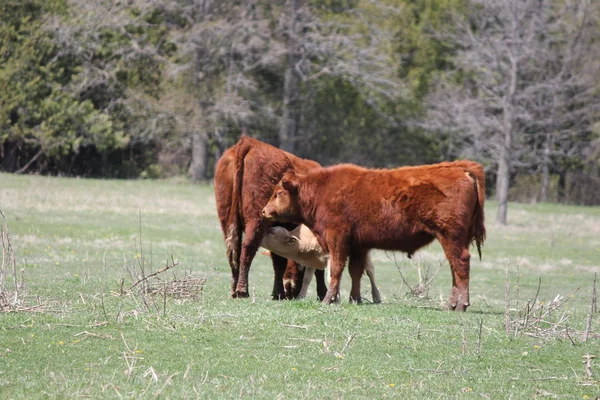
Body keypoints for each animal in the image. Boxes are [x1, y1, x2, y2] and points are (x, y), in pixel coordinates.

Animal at [214, 136, 328, 298]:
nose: (290, 291)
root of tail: (249, 142)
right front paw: (322, 293)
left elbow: (279, 260)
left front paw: (277, 292)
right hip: (257, 219)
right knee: (247, 248)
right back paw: (242, 290)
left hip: (227, 220)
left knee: (233, 251)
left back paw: (233, 290)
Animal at [262, 161, 488, 310]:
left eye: (278, 193)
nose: (264, 211)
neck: (322, 191)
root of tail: (460, 168)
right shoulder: (358, 246)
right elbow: (355, 272)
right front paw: (355, 299)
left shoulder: (337, 240)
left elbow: (336, 270)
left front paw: (328, 300)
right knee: (455, 268)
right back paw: (452, 304)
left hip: (451, 237)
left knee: (460, 264)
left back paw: (461, 305)